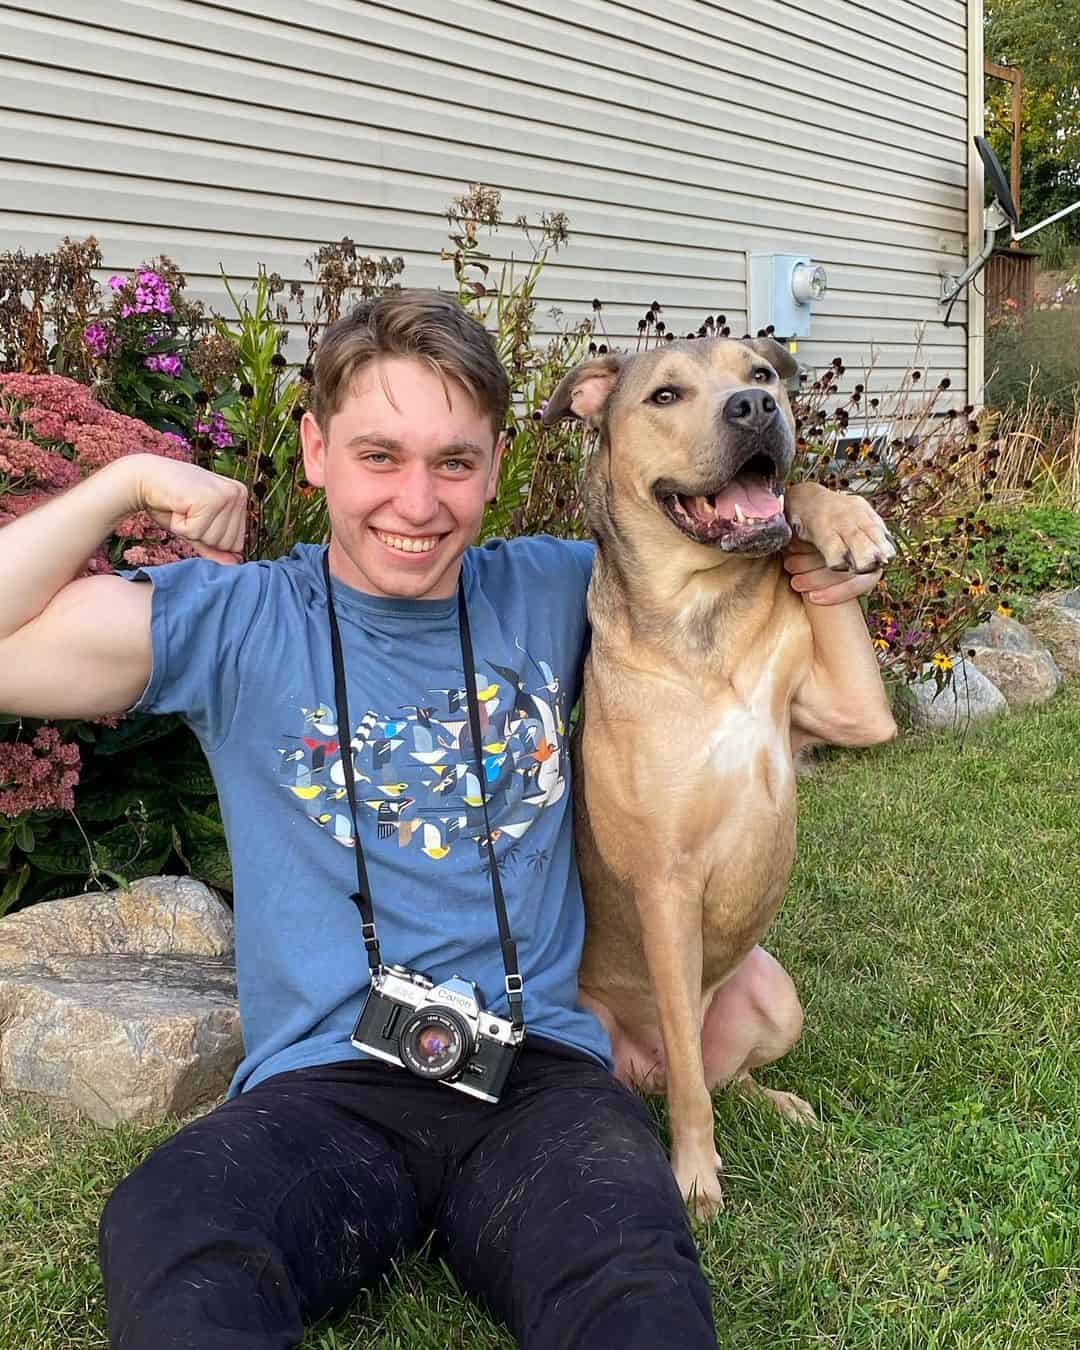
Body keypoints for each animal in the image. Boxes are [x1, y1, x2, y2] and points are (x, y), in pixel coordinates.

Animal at [548, 334, 896, 1215]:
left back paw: (777, 1102)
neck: (700, 612)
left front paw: (844, 524)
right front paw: (695, 1179)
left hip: (779, 996)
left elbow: (800, 496)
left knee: (721, 1074)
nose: (755, 408)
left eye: (762, 374)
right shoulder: (667, 887)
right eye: (665, 395)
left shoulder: (851, 712)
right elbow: (686, 1080)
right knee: (683, 1074)